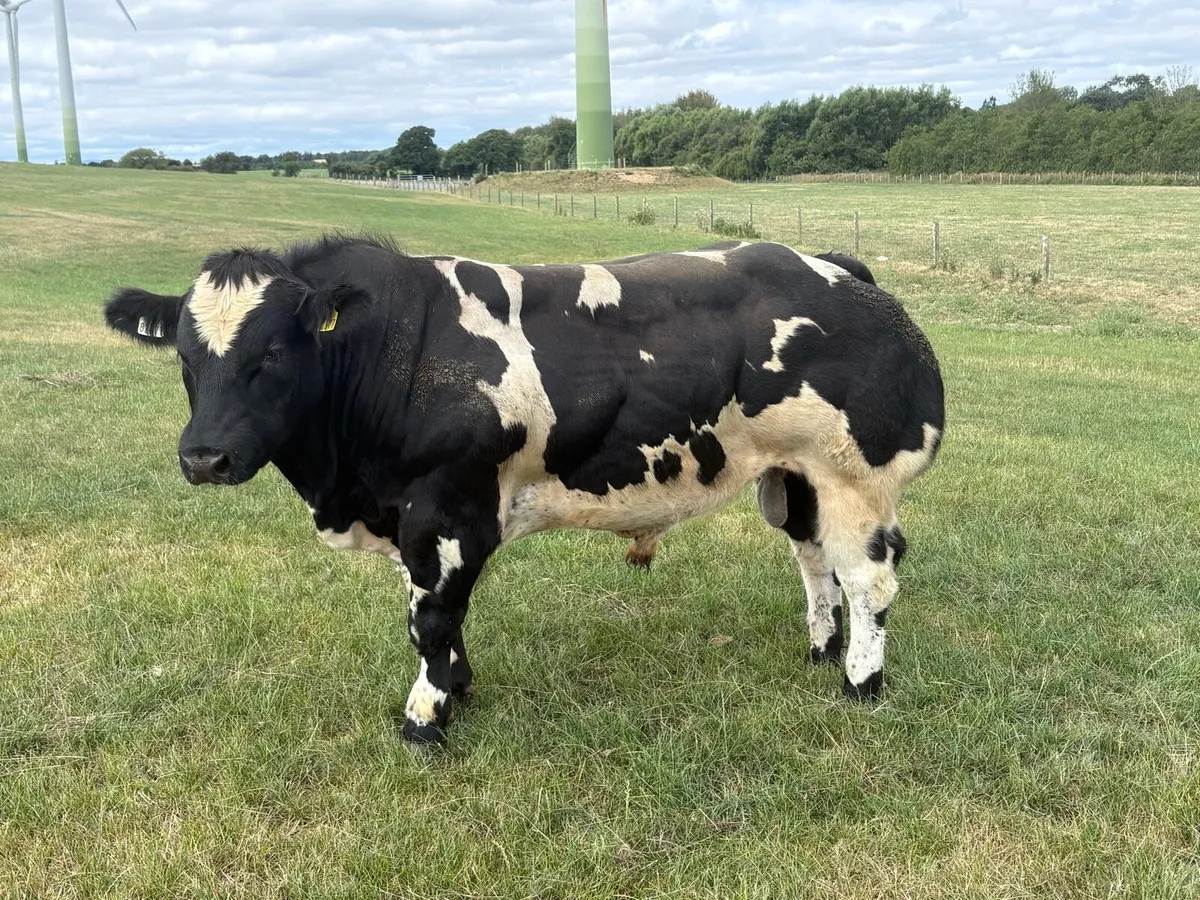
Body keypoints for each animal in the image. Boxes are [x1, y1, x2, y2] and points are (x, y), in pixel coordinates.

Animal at [103, 235, 944, 745]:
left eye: (273, 352)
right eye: (185, 354)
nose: (204, 457)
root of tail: (834, 267)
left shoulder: (446, 509)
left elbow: (432, 619)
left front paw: (426, 717)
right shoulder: (412, 518)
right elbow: (439, 616)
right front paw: (459, 688)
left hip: (855, 477)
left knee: (869, 579)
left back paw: (861, 680)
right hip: (795, 476)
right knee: (815, 561)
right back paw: (822, 647)